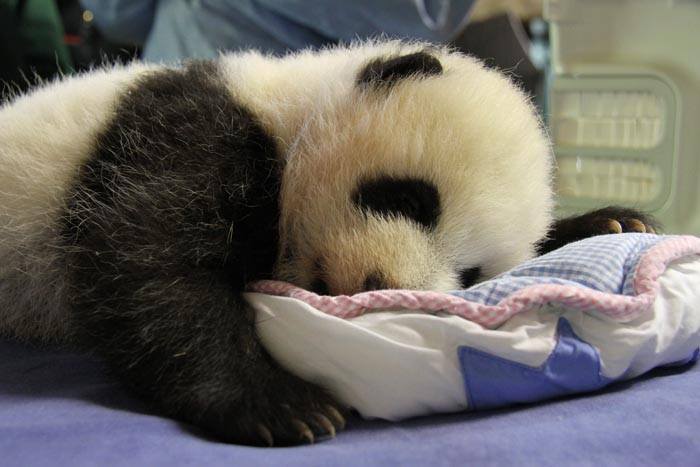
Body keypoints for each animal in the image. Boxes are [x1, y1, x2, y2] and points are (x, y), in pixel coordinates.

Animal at [0, 40, 654, 446]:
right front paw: (283, 405)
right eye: (411, 199)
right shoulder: (180, 129)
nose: (378, 286)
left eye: (471, 274)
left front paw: (613, 223)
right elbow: (145, 260)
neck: (286, 111)